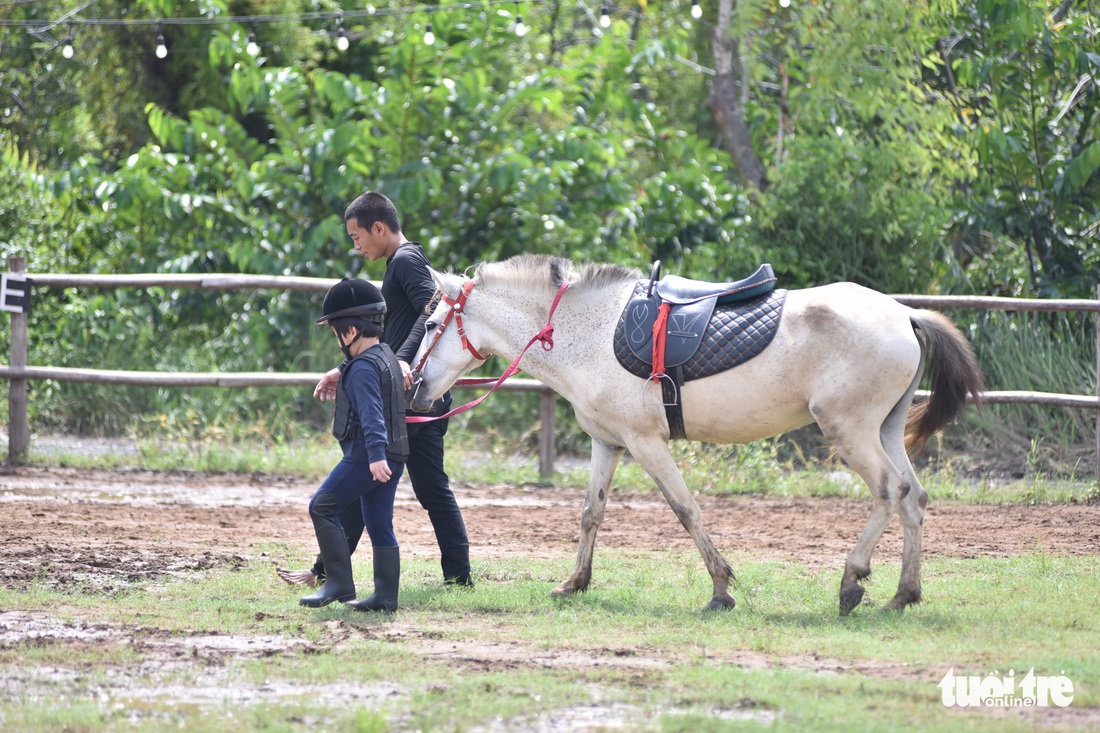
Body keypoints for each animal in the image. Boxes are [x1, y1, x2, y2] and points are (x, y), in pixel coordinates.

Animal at [409, 253, 985, 611]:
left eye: (432, 323)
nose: (413, 384)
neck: (586, 331)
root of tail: (904, 314)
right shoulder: (608, 443)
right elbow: (591, 513)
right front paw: (574, 583)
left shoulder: (646, 444)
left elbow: (686, 510)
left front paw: (721, 590)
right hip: (884, 430)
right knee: (914, 498)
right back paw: (903, 595)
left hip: (851, 432)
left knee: (890, 490)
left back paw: (852, 580)